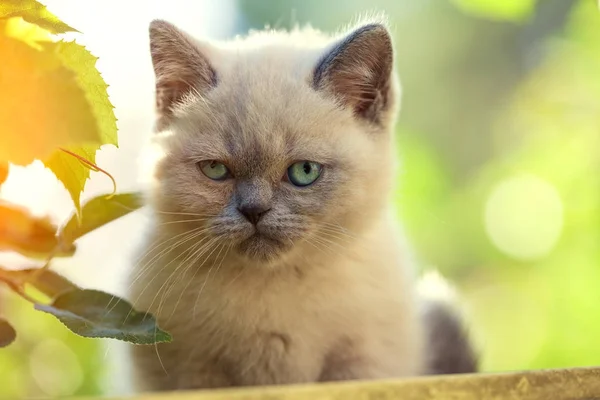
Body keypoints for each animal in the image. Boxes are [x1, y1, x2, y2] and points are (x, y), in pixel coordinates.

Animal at [129, 18, 476, 390]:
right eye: (215, 170)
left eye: (304, 172)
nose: (254, 211)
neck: (272, 283)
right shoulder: (194, 372)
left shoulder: (361, 363)